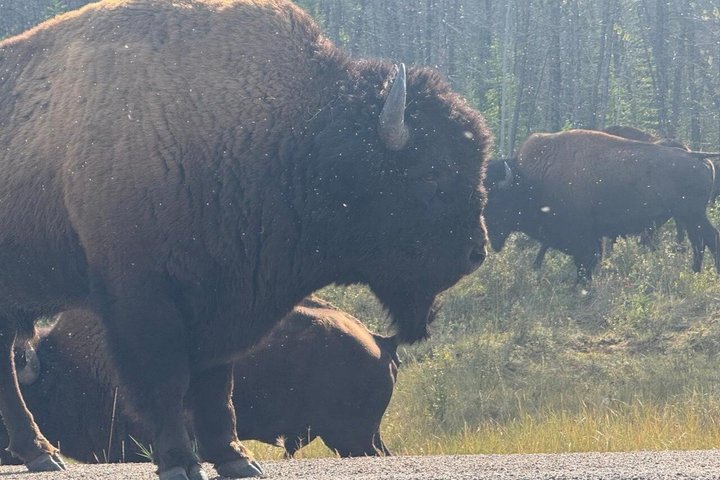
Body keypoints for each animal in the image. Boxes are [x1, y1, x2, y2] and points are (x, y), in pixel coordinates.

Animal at [485, 129, 719, 282]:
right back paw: (695, 272)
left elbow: (585, 260)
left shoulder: (582, 235)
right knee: (698, 241)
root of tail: (695, 156)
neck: (533, 180)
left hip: (692, 214)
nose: (488, 237)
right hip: (689, 216)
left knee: (709, 238)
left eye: (495, 200)